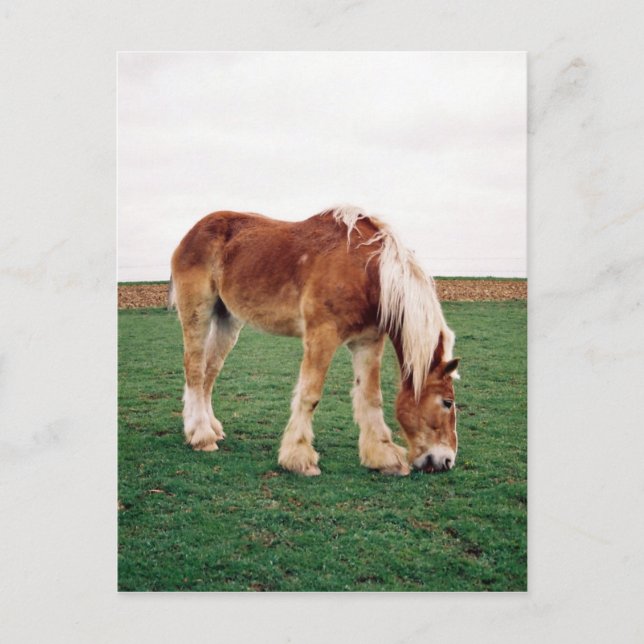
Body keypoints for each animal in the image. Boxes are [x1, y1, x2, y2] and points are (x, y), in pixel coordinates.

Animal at [170, 205, 459, 476]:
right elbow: (310, 395)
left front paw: (384, 457)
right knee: (195, 370)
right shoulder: (322, 336)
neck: (366, 270)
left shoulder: (368, 342)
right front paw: (299, 459)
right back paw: (201, 436)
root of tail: (191, 234)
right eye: (447, 402)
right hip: (197, 313)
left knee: (209, 372)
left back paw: (210, 428)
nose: (446, 461)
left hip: (228, 320)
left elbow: (370, 396)